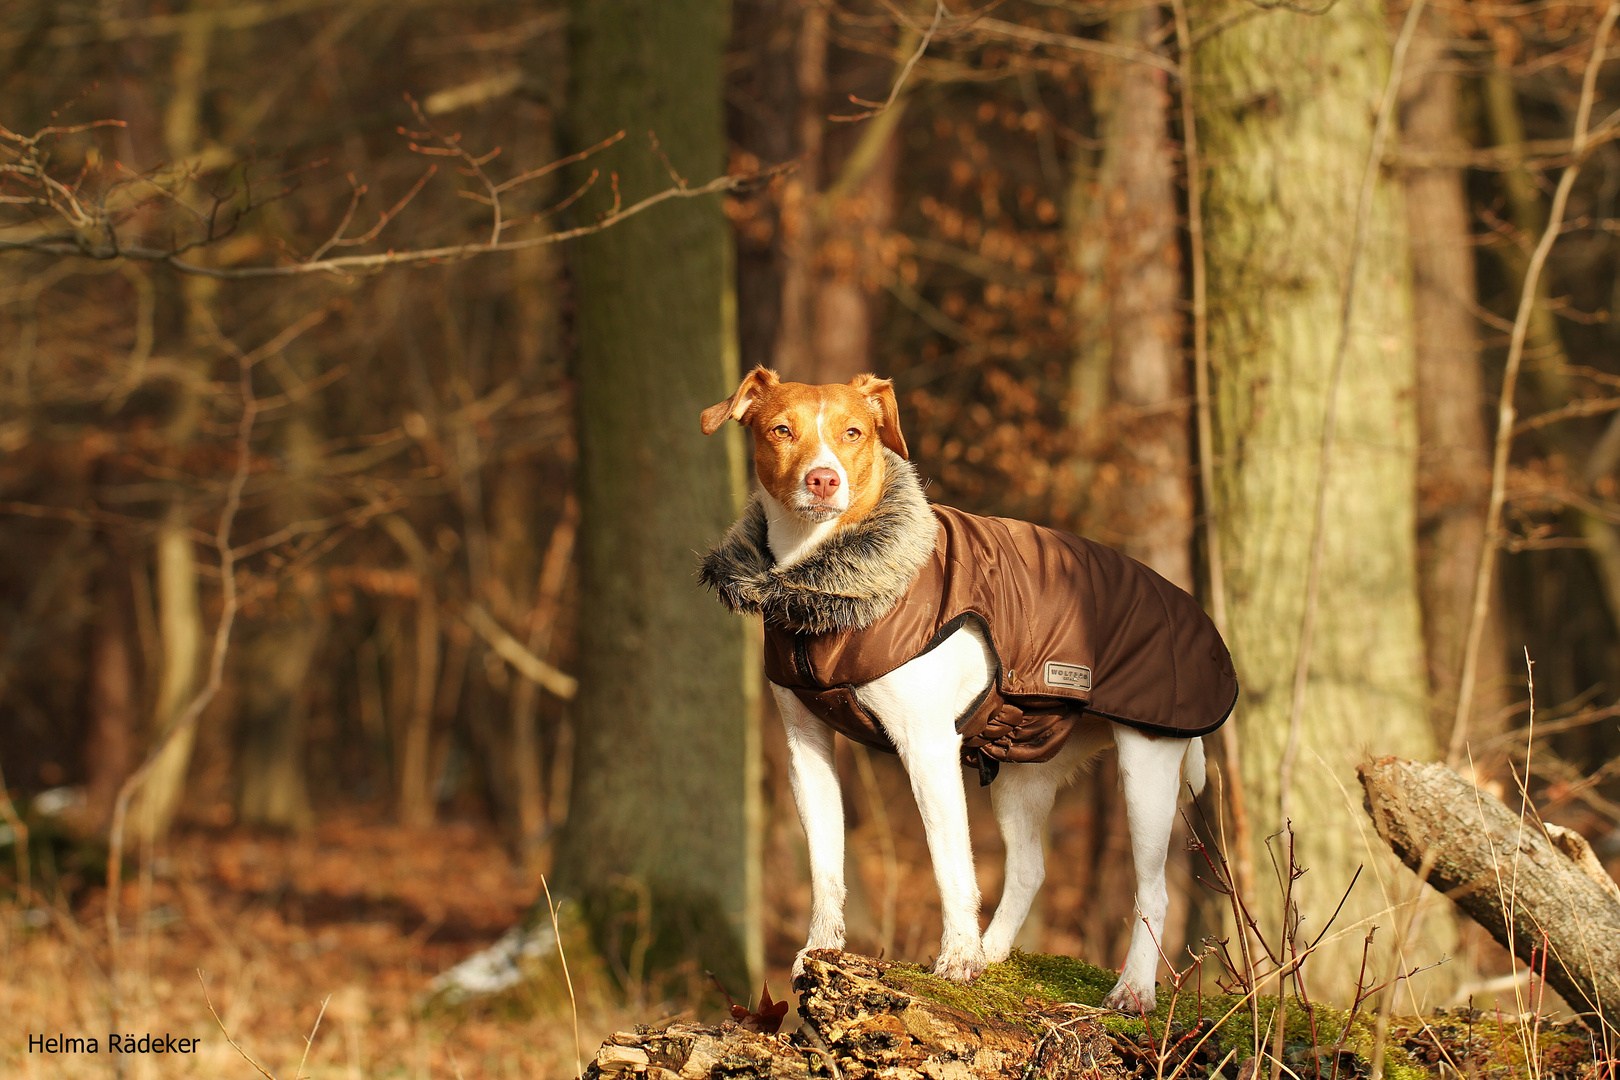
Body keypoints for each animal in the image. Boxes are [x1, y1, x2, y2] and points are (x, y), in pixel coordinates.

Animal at [696, 367, 1237, 1010]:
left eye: (854, 433)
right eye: (782, 429)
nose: (823, 479)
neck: (822, 581)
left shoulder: (928, 748)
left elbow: (950, 864)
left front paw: (955, 960)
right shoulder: (808, 753)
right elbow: (826, 866)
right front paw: (818, 953)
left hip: (1147, 768)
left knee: (1153, 889)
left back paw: (1132, 989)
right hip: (1023, 772)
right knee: (1030, 869)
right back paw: (995, 952)